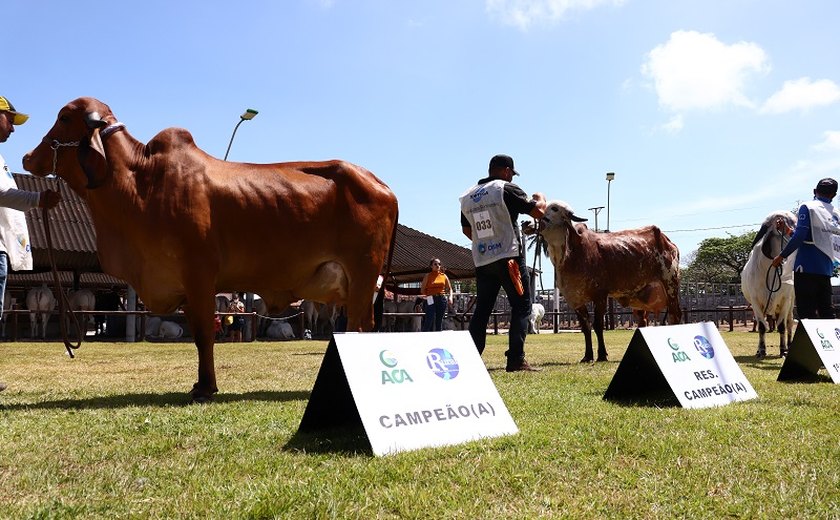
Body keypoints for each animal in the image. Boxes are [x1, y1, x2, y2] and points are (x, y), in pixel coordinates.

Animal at [23, 97, 398, 402]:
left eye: (64, 117)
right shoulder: (184, 286)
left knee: (361, 327)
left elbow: (204, 335)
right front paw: (201, 385)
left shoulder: (199, 275)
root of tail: (381, 185)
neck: (141, 183)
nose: (28, 157)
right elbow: (198, 336)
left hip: (363, 275)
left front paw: (205, 388)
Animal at [532, 201, 684, 364]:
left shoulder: (600, 295)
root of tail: (667, 241)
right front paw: (587, 356)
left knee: (675, 316)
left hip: (670, 285)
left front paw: (601, 355)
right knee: (643, 321)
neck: (571, 254)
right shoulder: (574, 299)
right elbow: (586, 327)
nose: (537, 220)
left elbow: (598, 325)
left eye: (554, 209)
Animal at [740, 210, 796, 358]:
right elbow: (761, 326)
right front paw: (761, 350)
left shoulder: (785, 299)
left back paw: (789, 346)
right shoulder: (755, 302)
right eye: (784, 225)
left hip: (791, 302)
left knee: (789, 323)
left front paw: (783, 350)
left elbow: (782, 326)